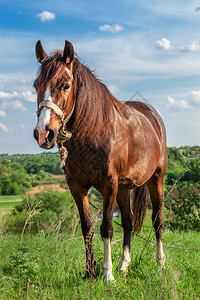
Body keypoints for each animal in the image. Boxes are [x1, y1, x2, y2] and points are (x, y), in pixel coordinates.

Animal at [33, 40, 168, 284]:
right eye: (35, 85)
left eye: (65, 85)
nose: (43, 133)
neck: (94, 131)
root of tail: (152, 115)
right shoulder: (77, 186)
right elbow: (87, 226)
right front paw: (90, 271)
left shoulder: (108, 186)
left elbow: (106, 227)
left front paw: (107, 274)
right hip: (124, 188)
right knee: (128, 221)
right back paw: (124, 264)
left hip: (156, 179)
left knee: (157, 219)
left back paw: (160, 263)